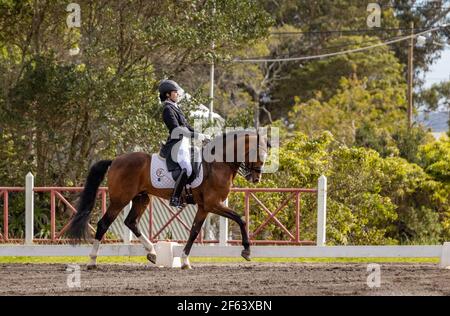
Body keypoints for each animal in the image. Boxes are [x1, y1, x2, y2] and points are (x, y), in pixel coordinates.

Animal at [67, 130, 270, 270]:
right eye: (256, 152)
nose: (256, 178)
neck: (218, 164)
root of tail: (116, 160)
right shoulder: (213, 204)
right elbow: (240, 219)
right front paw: (246, 251)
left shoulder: (204, 207)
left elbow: (194, 231)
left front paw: (185, 261)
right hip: (120, 200)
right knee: (104, 224)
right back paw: (92, 261)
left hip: (142, 198)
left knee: (131, 221)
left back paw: (152, 252)